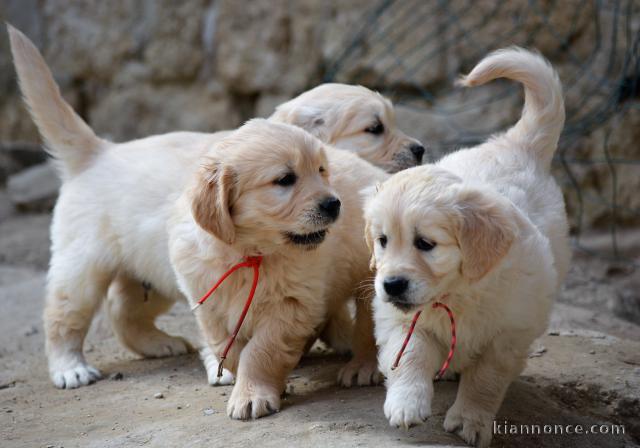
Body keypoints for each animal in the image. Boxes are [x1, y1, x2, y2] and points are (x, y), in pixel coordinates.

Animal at [364, 47, 568, 446]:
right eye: (382, 241)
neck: (457, 293)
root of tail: (514, 143)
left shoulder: (509, 333)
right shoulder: (400, 319)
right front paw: (406, 404)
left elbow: (486, 378)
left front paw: (470, 420)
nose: (391, 285)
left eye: (425, 243)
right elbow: (409, 354)